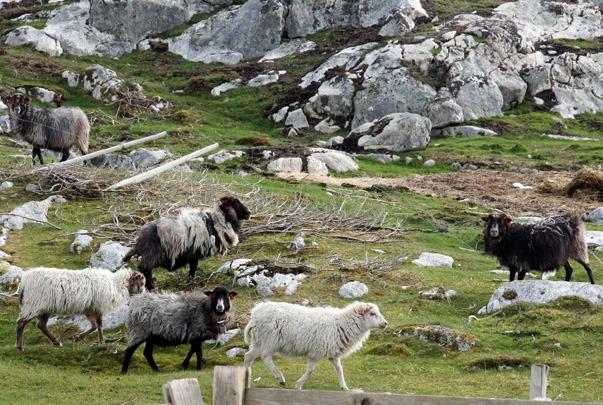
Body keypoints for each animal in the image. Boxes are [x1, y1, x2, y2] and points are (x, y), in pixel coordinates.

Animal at [15, 266, 146, 348]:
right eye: (142, 283)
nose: (144, 294)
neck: (117, 284)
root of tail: (24, 282)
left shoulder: (90, 309)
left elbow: (94, 326)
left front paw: (78, 337)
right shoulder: (98, 307)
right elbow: (100, 326)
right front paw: (102, 341)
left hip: (44, 308)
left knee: (41, 325)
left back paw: (56, 342)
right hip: (33, 304)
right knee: (21, 322)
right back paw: (19, 346)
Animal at [244, 300, 390, 388]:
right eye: (372, 313)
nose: (385, 323)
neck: (343, 324)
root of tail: (255, 314)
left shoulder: (333, 354)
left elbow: (339, 369)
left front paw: (344, 387)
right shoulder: (315, 352)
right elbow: (310, 371)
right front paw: (299, 384)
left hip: (259, 341)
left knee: (248, 356)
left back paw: (246, 377)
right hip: (270, 341)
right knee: (266, 357)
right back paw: (280, 378)